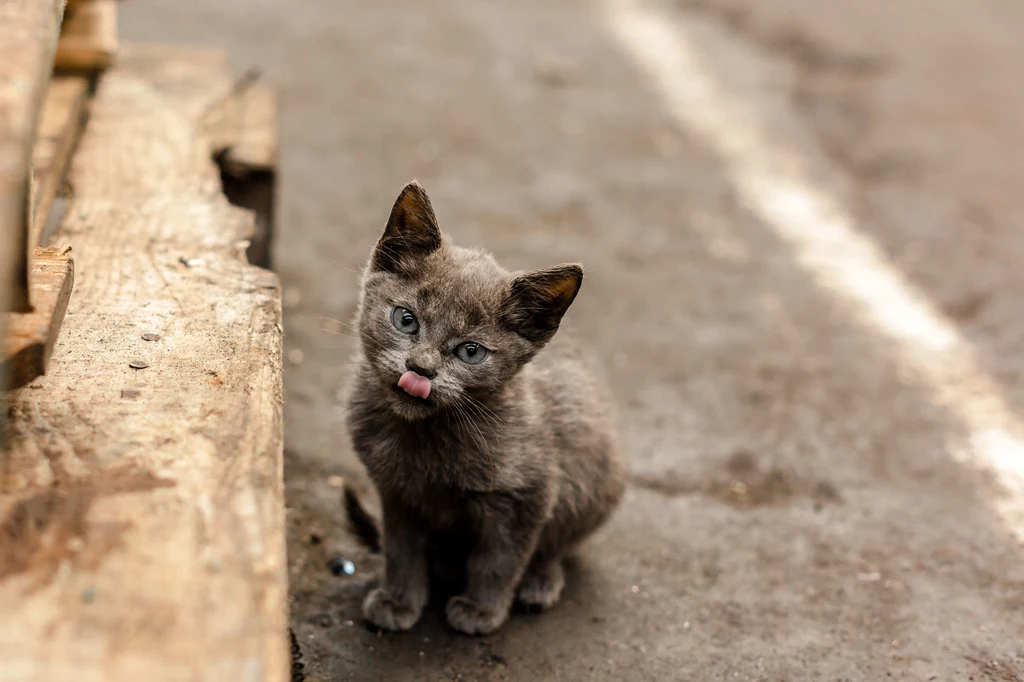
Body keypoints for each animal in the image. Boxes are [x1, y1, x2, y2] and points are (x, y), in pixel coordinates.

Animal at [346, 179, 622, 630]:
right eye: (406, 319)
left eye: (470, 352)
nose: (419, 369)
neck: (426, 437)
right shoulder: (396, 491)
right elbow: (401, 549)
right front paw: (399, 600)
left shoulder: (528, 494)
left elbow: (499, 559)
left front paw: (481, 610)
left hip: (597, 480)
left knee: (556, 545)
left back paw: (539, 582)